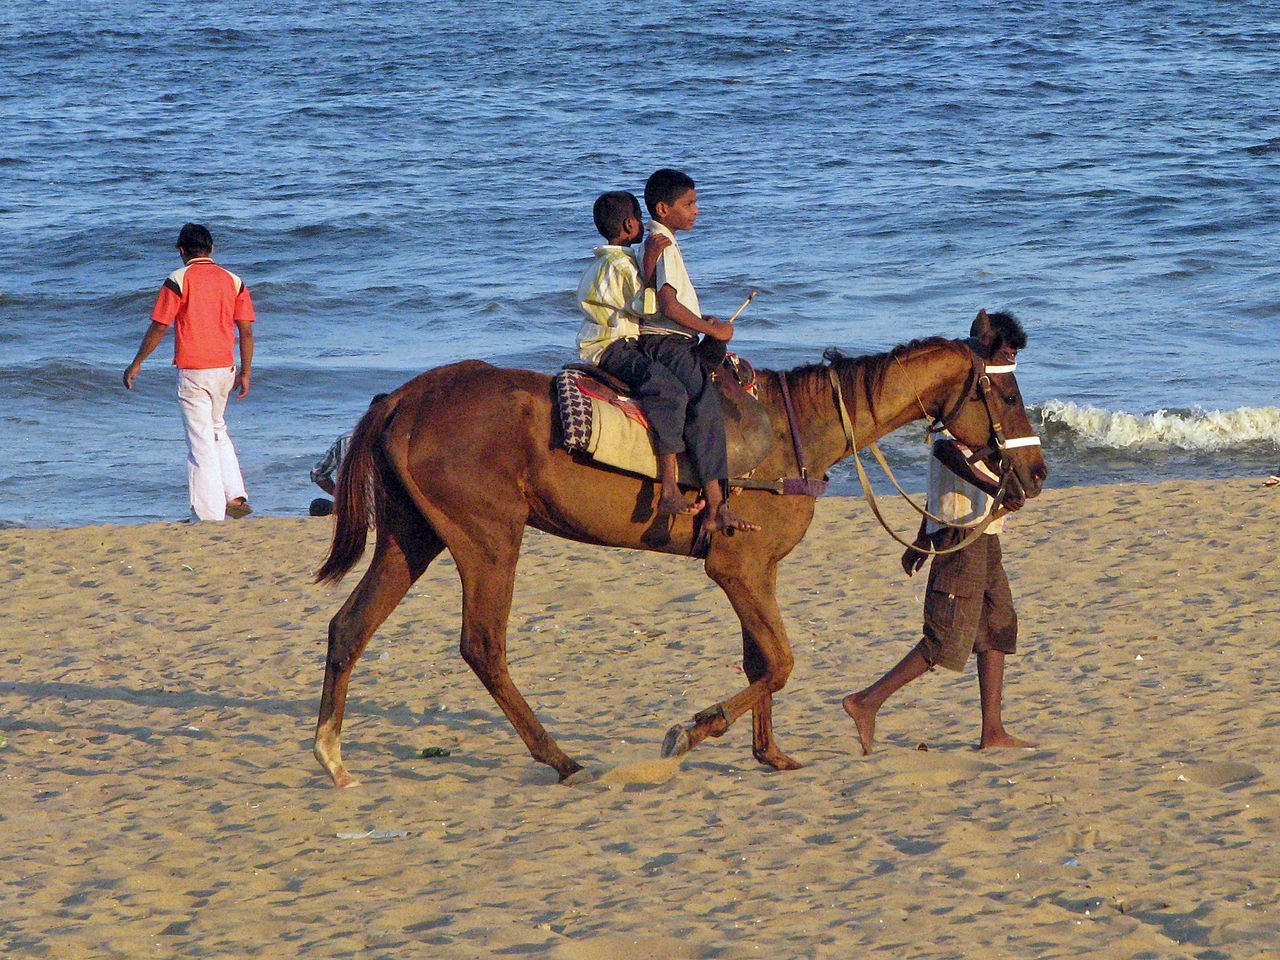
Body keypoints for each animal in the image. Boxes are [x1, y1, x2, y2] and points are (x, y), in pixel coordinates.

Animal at [314, 335, 1044, 783]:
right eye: (1006, 396)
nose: (1035, 473)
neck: (796, 430)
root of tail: (403, 401)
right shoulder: (737, 567)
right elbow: (780, 662)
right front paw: (693, 731)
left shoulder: (757, 569)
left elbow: (761, 661)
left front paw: (769, 753)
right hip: (488, 538)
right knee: (482, 646)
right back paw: (561, 758)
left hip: (413, 536)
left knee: (350, 627)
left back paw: (332, 757)